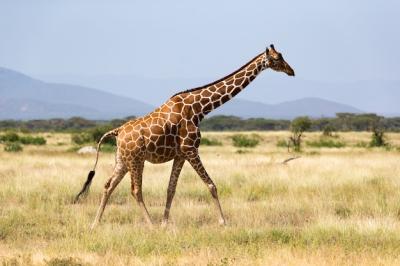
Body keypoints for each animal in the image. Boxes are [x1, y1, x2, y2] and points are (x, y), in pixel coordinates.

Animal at [74, 44, 294, 229]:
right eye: (277, 58)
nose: (291, 71)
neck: (200, 109)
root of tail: (117, 131)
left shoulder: (180, 154)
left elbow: (171, 188)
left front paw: (165, 223)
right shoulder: (191, 149)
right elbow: (211, 185)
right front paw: (223, 222)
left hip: (122, 160)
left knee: (108, 185)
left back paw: (95, 224)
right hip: (136, 160)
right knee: (136, 190)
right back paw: (150, 225)